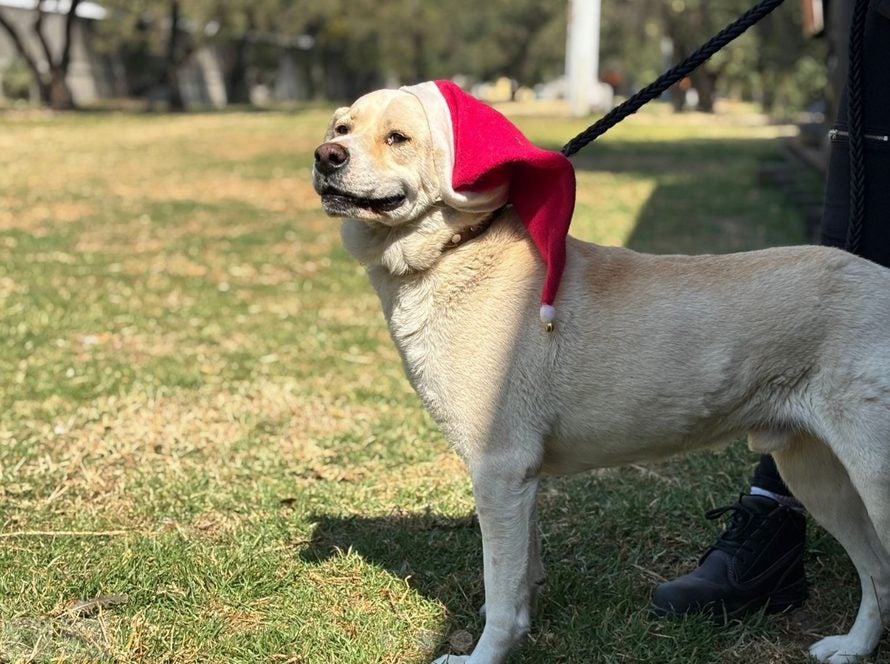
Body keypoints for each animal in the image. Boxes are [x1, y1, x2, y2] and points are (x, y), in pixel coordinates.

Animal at [310, 83, 888, 664]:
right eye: (342, 129)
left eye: (398, 137)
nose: (325, 156)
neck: (459, 247)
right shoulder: (520, 480)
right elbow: (521, 576)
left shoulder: (499, 468)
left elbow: (500, 590)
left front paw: (484, 655)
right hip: (814, 475)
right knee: (878, 574)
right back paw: (852, 647)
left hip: (870, 477)